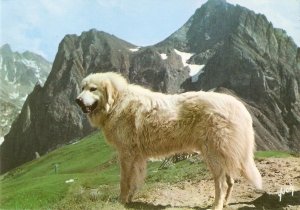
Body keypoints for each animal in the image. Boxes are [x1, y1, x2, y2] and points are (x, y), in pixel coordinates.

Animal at [76, 72, 262, 210]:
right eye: (83, 88)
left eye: (93, 89)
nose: (77, 100)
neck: (117, 102)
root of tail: (237, 105)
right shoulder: (136, 156)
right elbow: (134, 180)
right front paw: (129, 199)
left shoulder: (126, 153)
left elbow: (124, 180)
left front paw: (121, 200)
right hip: (221, 153)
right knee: (230, 181)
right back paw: (224, 203)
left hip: (212, 154)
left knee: (222, 183)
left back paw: (216, 205)